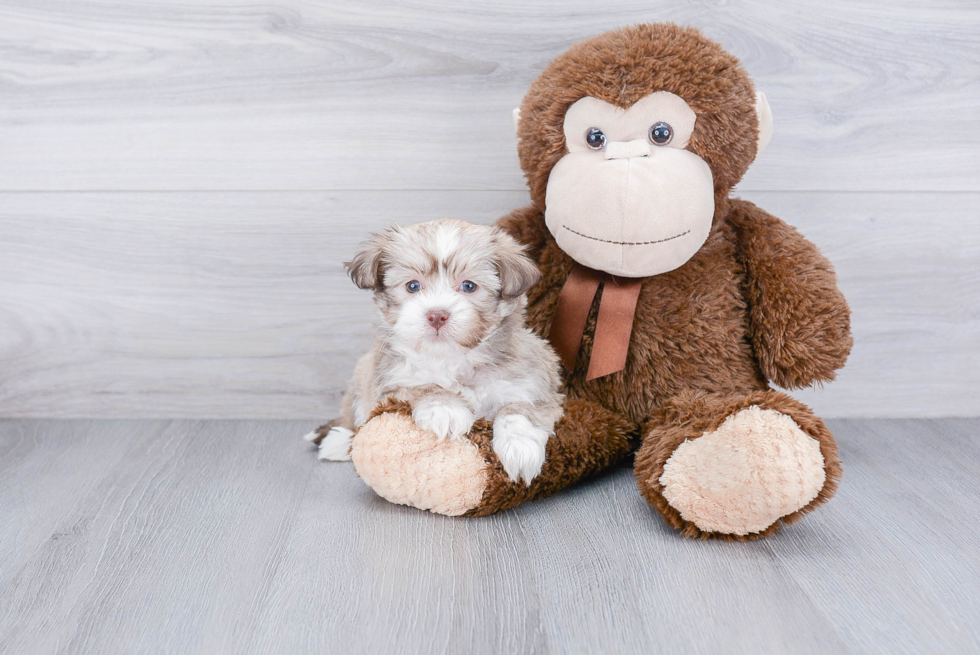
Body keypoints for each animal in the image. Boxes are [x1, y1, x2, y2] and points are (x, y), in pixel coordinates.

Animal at [306, 218, 568, 484]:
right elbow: (423, 386)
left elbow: (522, 409)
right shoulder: (392, 383)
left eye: (468, 286)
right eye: (413, 286)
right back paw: (340, 442)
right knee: (353, 420)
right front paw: (445, 408)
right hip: (361, 378)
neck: (452, 358)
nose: (437, 315)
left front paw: (520, 446)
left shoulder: (533, 380)